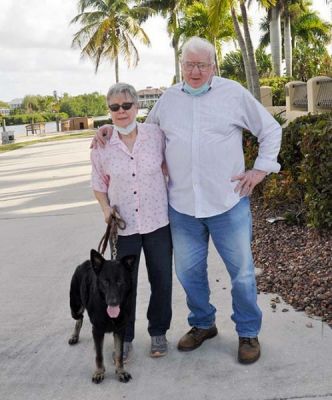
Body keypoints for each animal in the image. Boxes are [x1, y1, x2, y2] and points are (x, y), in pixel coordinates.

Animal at [68, 248, 136, 382]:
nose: (113, 302)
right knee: (80, 318)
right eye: (105, 282)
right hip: (75, 308)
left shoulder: (120, 330)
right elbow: (99, 355)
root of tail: (86, 262)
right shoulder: (98, 329)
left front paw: (121, 371)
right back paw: (74, 336)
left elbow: (119, 353)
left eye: (120, 282)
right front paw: (99, 372)